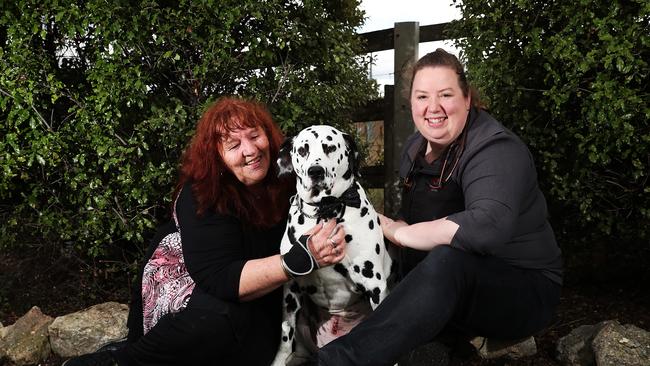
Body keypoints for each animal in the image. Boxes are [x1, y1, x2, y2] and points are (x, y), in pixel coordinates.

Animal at [270, 126, 392, 366]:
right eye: (302, 150)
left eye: (330, 147)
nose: (315, 172)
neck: (325, 211)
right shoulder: (290, 291)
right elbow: (285, 336)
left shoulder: (375, 285)